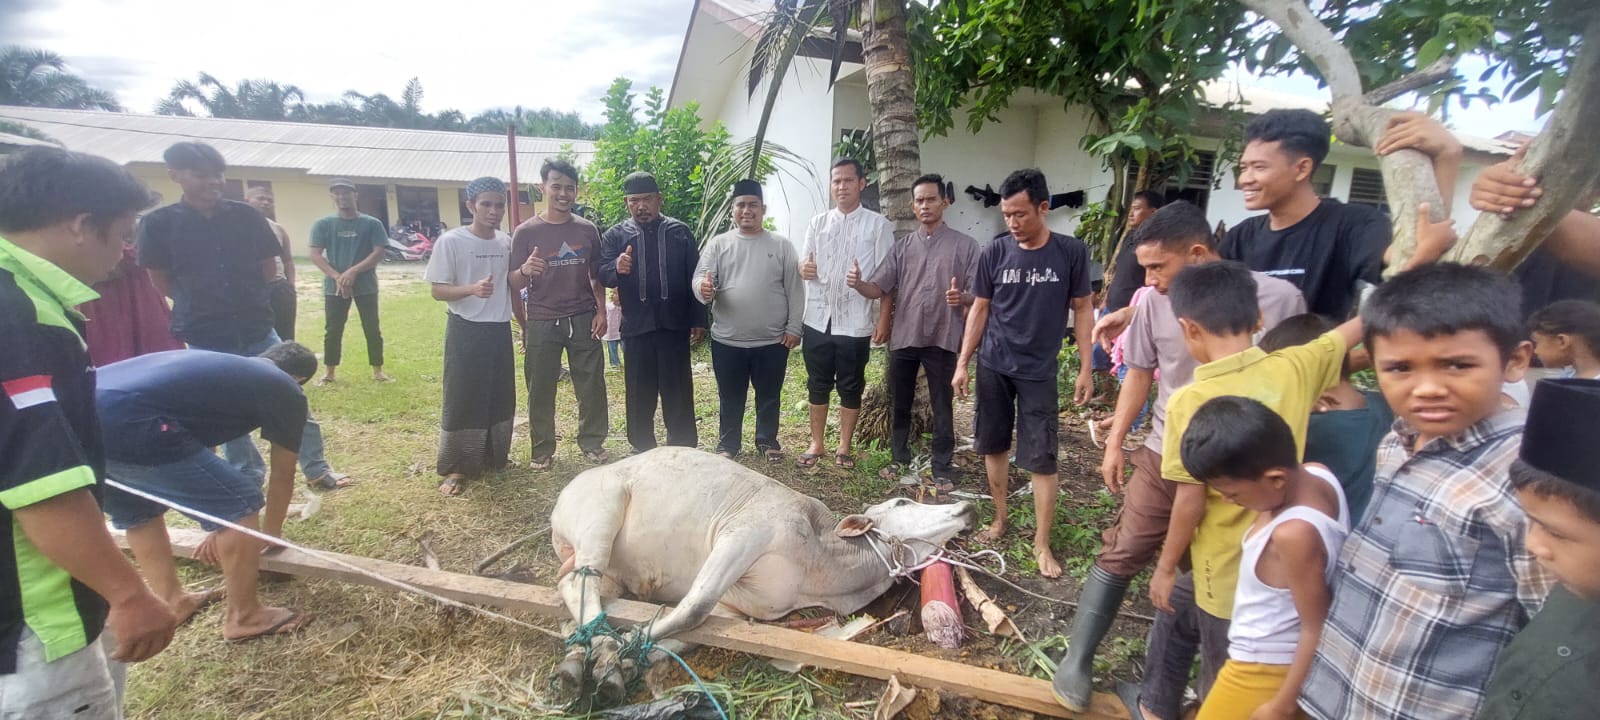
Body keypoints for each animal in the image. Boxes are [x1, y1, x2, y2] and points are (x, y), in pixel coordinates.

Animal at [550, 448, 972, 707]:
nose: (966, 508)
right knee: (582, 579)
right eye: (902, 501)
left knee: (577, 587)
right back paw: (592, 649)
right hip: (602, 512)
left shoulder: (737, 609)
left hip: (611, 570)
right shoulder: (743, 534)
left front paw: (622, 661)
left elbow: (679, 637)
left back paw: (582, 651)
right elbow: (693, 608)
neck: (820, 569)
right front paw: (619, 653)